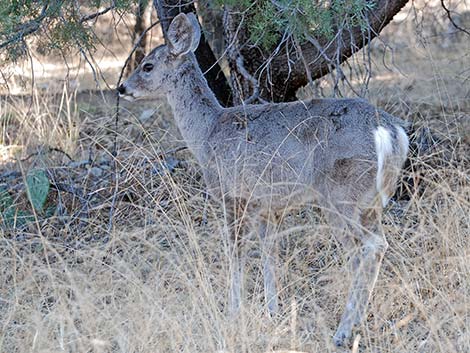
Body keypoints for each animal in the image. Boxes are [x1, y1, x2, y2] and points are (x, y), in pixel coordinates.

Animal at [116, 12, 408, 346]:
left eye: (148, 66)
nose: (122, 87)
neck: (207, 133)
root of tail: (390, 131)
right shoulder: (268, 206)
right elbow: (270, 253)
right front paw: (273, 310)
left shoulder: (233, 195)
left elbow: (236, 253)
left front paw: (233, 311)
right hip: (371, 202)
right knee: (376, 245)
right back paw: (357, 321)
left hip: (341, 193)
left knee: (366, 248)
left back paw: (343, 330)